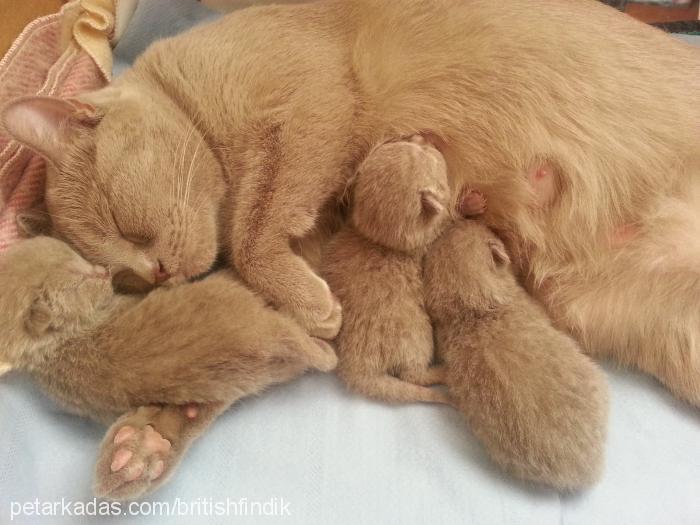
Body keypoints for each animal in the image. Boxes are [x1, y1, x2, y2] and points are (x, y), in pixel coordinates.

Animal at [322, 134, 448, 402]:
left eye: (410, 143)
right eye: (426, 151)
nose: (423, 136)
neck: (376, 238)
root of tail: (358, 369)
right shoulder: (428, 241)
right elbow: (447, 219)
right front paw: (473, 203)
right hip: (419, 337)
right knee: (413, 375)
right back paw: (443, 375)